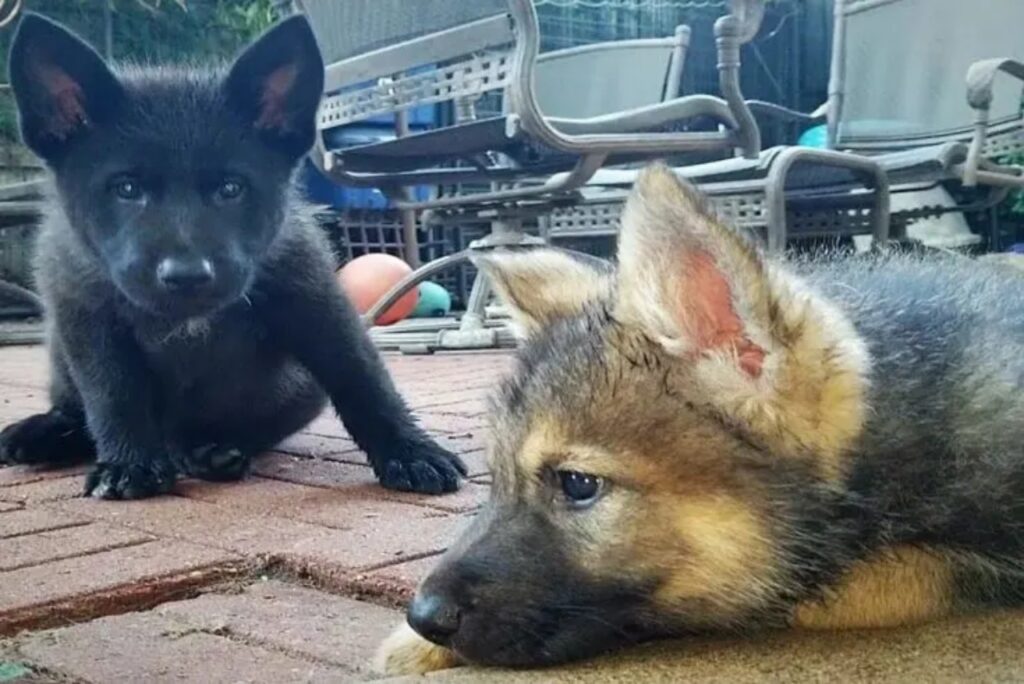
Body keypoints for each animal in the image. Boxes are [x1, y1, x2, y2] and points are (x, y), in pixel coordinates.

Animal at [2, 13, 466, 499]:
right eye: (126, 188)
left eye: (231, 188)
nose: (187, 275)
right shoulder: (88, 319)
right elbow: (114, 395)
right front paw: (129, 463)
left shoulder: (317, 303)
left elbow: (363, 379)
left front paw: (411, 451)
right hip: (60, 356)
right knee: (75, 410)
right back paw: (44, 433)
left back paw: (210, 451)